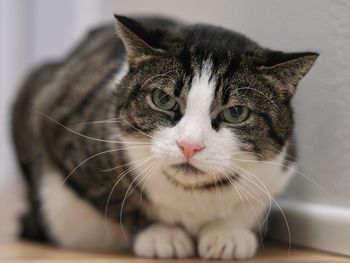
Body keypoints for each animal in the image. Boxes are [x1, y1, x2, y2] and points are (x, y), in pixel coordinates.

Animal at [10, 15, 318, 260]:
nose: (190, 145)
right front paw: (162, 235)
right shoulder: (61, 125)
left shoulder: (280, 167)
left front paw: (227, 234)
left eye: (236, 112)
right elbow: (116, 198)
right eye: (163, 98)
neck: (193, 196)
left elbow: (254, 201)